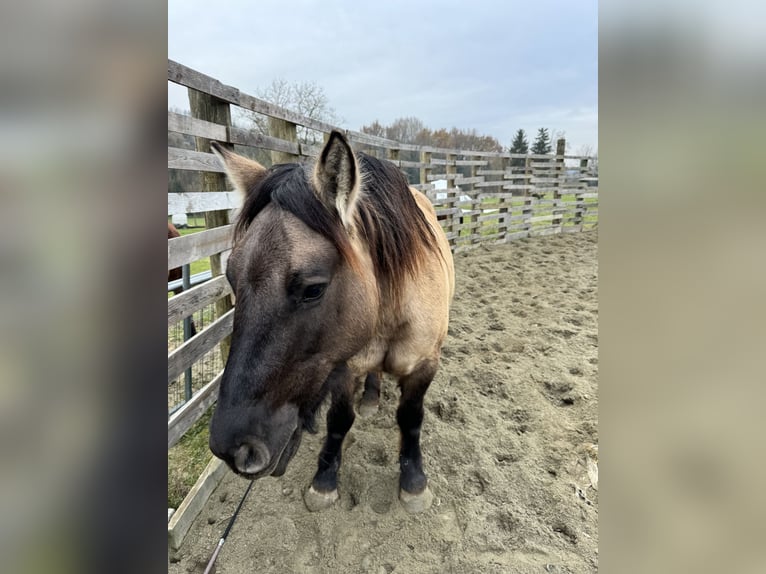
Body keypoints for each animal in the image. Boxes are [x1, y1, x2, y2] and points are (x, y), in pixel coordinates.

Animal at [208, 133, 456, 516]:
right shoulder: (344, 368)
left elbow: (411, 419)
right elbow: (338, 422)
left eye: (313, 289)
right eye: (232, 279)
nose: (233, 448)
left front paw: (414, 482)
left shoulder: (424, 365)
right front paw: (324, 481)